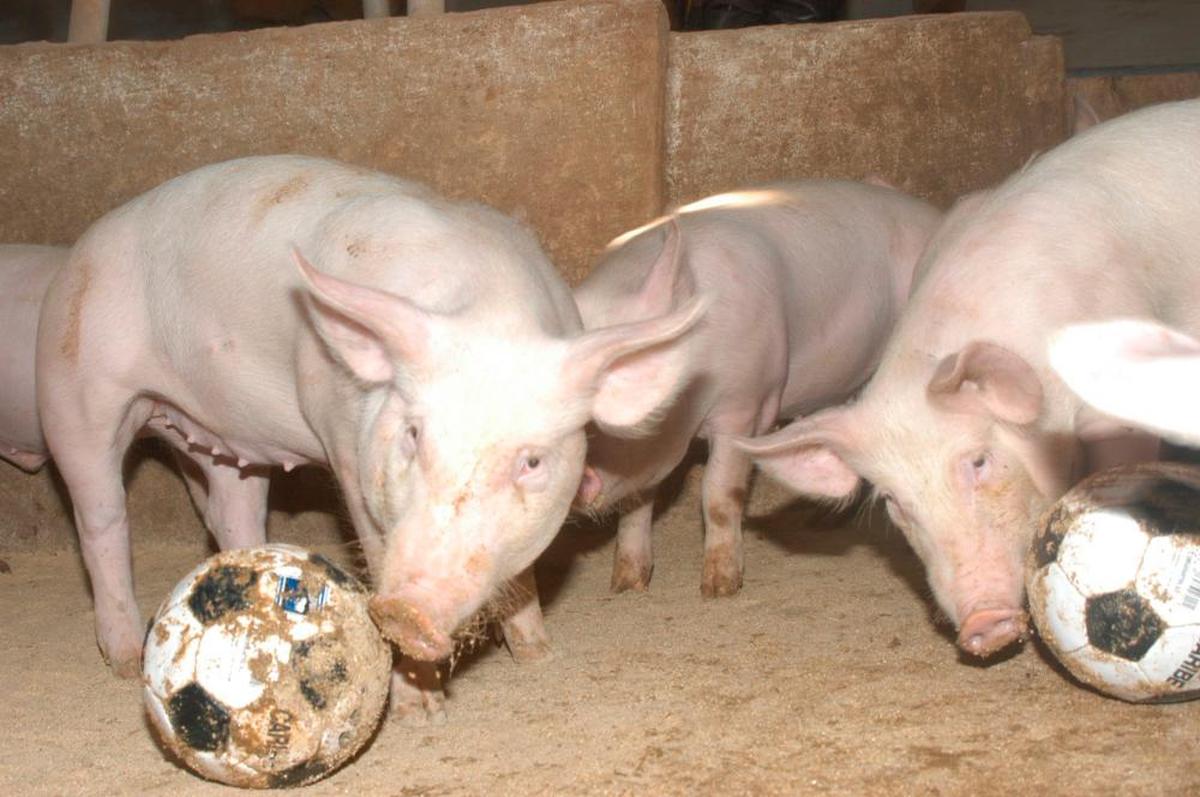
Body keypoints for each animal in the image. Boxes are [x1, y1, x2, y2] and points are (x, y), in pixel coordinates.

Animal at [39, 152, 700, 720]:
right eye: (412, 434)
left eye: (532, 462)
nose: (410, 609)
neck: (491, 309)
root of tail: (77, 254)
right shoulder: (345, 449)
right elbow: (375, 542)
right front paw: (418, 711)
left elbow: (522, 577)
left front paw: (539, 654)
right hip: (76, 387)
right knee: (100, 520)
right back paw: (126, 657)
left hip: (223, 440)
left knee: (231, 510)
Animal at [566, 182, 940, 597]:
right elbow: (636, 503)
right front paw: (626, 585)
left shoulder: (746, 405)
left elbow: (718, 494)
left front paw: (719, 588)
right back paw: (817, 521)